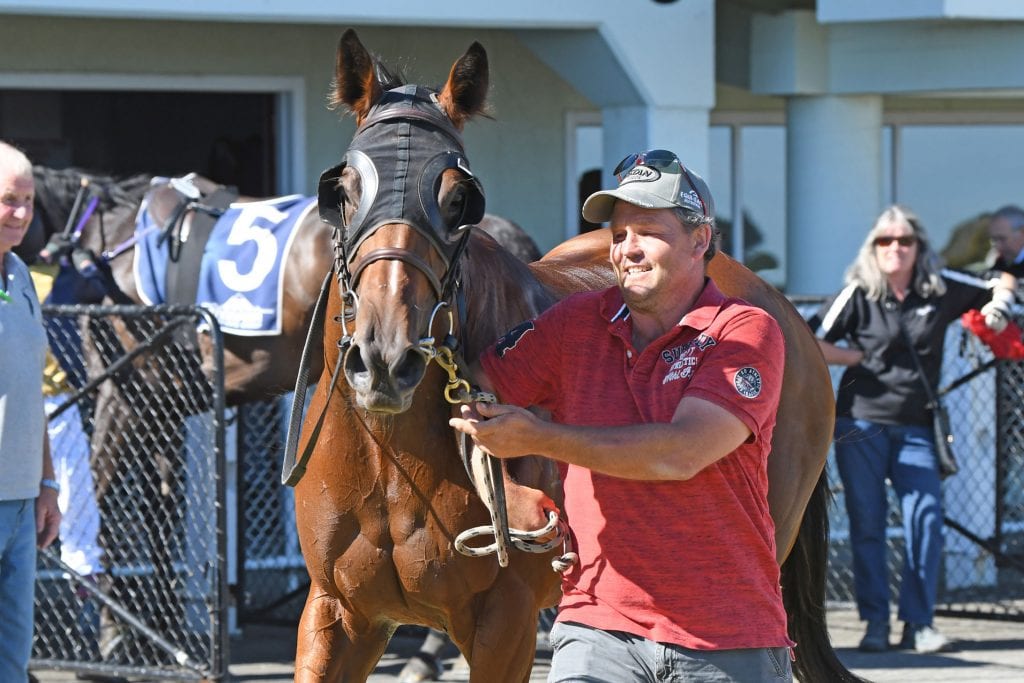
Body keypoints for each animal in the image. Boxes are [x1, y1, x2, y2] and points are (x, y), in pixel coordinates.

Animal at [294, 29, 856, 683]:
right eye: (341, 192)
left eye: (459, 199)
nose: (385, 356)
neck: (392, 461)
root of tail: (782, 308)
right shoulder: (337, 614)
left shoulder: (504, 623)